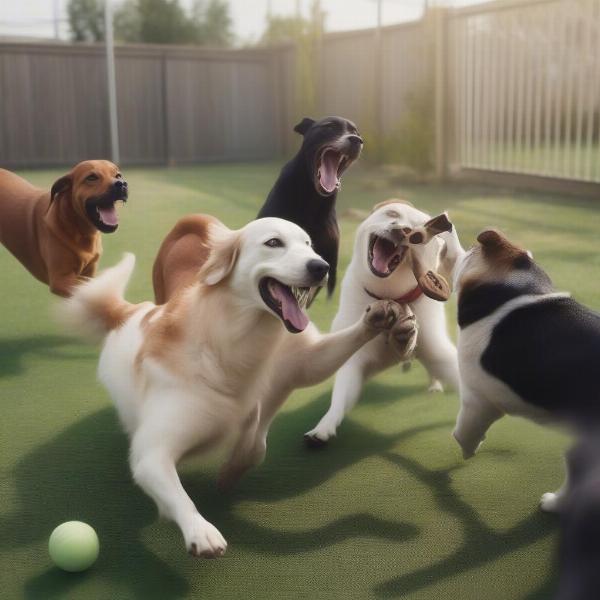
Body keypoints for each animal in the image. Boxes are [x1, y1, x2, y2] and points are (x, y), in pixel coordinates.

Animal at [61, 217, 418, 556]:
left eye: (308, 245)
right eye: (274, 243)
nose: (322, 267)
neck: (239, 337)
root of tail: (131, 311)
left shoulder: (302, 363)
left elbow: (255, 444)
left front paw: (381, 320)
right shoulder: (152, 454)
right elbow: (180, 494)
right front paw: (200, 530)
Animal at [304, 202, 464, 446]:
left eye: (418, 226)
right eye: (392, 214)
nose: (402, 230)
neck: (392, 295)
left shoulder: (440, 354)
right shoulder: (354, 360)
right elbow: (339, 399)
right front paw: (323, 427)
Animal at [452, 229, 600, 510]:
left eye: (471, 252)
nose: (460, 250)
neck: (509, 295)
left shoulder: (477, 398)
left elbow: (463, 433)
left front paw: (468, 450)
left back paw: (554, 504)